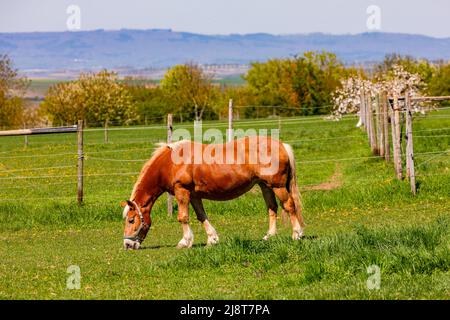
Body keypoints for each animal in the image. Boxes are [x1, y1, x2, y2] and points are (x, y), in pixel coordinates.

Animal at [122, 135, 306, 250]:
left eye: (131, 220)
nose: (127, 245)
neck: (169, 163)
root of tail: (282, 145)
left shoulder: (182, 191)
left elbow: (183, 217)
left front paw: (185, 242)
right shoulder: (194, 195)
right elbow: (201, 216)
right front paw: (212, 239)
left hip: (277, 186)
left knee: (289, 206)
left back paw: (297, 234)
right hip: (265, 186)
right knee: (272, 208)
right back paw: (269, 236)